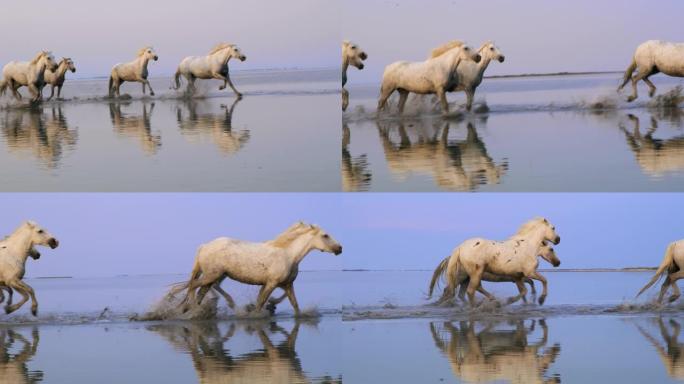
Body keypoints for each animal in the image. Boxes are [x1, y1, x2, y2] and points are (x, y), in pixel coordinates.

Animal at [176, 222, 342, 316]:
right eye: (325, 235)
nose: (340, 248)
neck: (289, 255)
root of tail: (204, 246)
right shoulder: (272, 283)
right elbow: (261, 303)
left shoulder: (287, 285)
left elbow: (295, 306)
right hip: (211, 275)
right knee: (193, 286)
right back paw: (192, 310)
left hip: (214, 277)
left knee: (201, 291)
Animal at [430, 218, 560, 308]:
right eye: (553, 228)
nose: (558, 239)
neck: (528, 246)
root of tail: (460, 248)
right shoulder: (529, 273)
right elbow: (543, 281)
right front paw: (540, 299)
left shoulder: (517, 277)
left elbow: (524, 291)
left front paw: (522, 302)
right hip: (473, 274)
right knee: (469, 291)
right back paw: (476, 307)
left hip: (467, 278)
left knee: (462, 292)